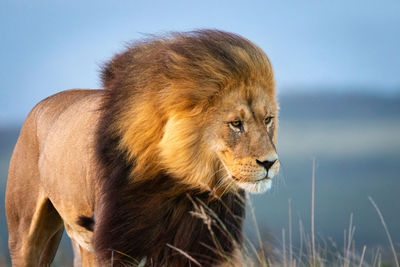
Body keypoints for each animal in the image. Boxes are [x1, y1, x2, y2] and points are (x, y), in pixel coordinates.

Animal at [5, 29, 278, 267]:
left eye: (267, 119)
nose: (269, 162)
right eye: (236, 124)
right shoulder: (113, 244)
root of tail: (39, 105)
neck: (178, 183)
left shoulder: (205, 245)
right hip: (25, 233)